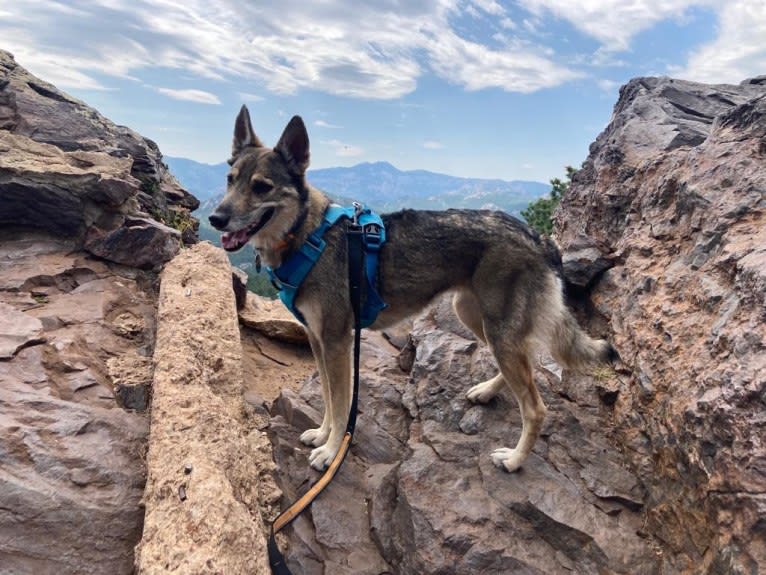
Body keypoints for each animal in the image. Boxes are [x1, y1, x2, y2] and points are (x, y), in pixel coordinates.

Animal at [210, 107, 616, 472]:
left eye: (261, 186)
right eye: (230, 179)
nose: (216, 218)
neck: (305, 236)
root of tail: (538, 238)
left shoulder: (337, 342)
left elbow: (341, 404)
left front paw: (330, 452)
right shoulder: (317, 340)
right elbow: (327, 396)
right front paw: (323, 435)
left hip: (497, 329)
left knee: (535, 406)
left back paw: (514, 460)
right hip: (477, 317)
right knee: (527, 362)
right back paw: (486, 391)